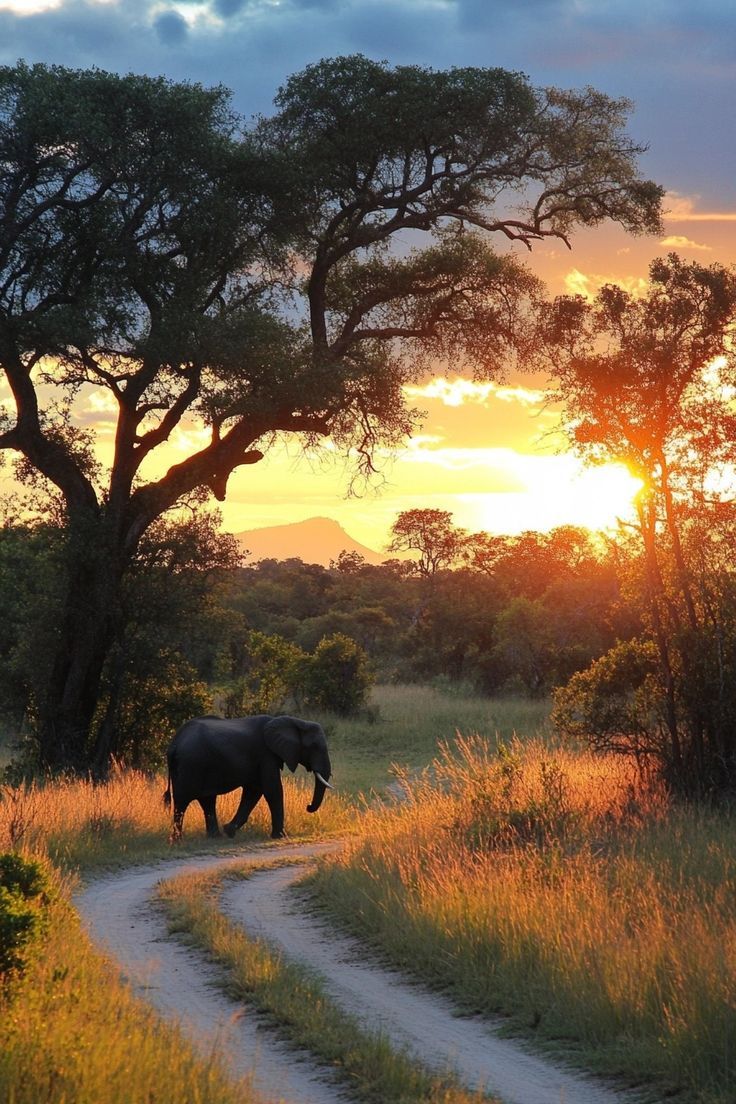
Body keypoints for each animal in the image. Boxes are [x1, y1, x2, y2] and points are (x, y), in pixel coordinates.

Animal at [164, 710, 333, 839]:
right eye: (314, 747)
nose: (308, 806)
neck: (295, 721)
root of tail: (173, 745)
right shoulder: (266, 754)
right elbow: (272, 790)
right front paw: (281, 836)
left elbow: (254, 791)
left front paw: (229, 831)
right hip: (191, 765)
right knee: (182, 801)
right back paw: (178, 841)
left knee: (207, 800)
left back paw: (214, 837)